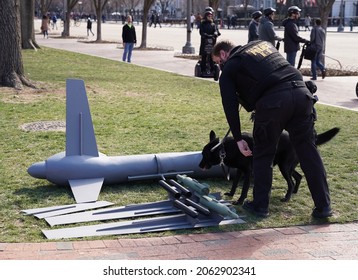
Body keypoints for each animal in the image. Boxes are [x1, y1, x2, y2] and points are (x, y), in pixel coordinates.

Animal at [200, 128, 340, 205]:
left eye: (204, 155)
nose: (199, 165)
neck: (226, 149)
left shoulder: (248, 172)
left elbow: (244, 190)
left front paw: (239, 201)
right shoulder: (240, 170)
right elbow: (234, 184)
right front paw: (231, 193)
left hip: (284, 167)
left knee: (291, 182)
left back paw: (287, 197)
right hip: (287, 167)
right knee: (299, 176)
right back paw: (294, 192)